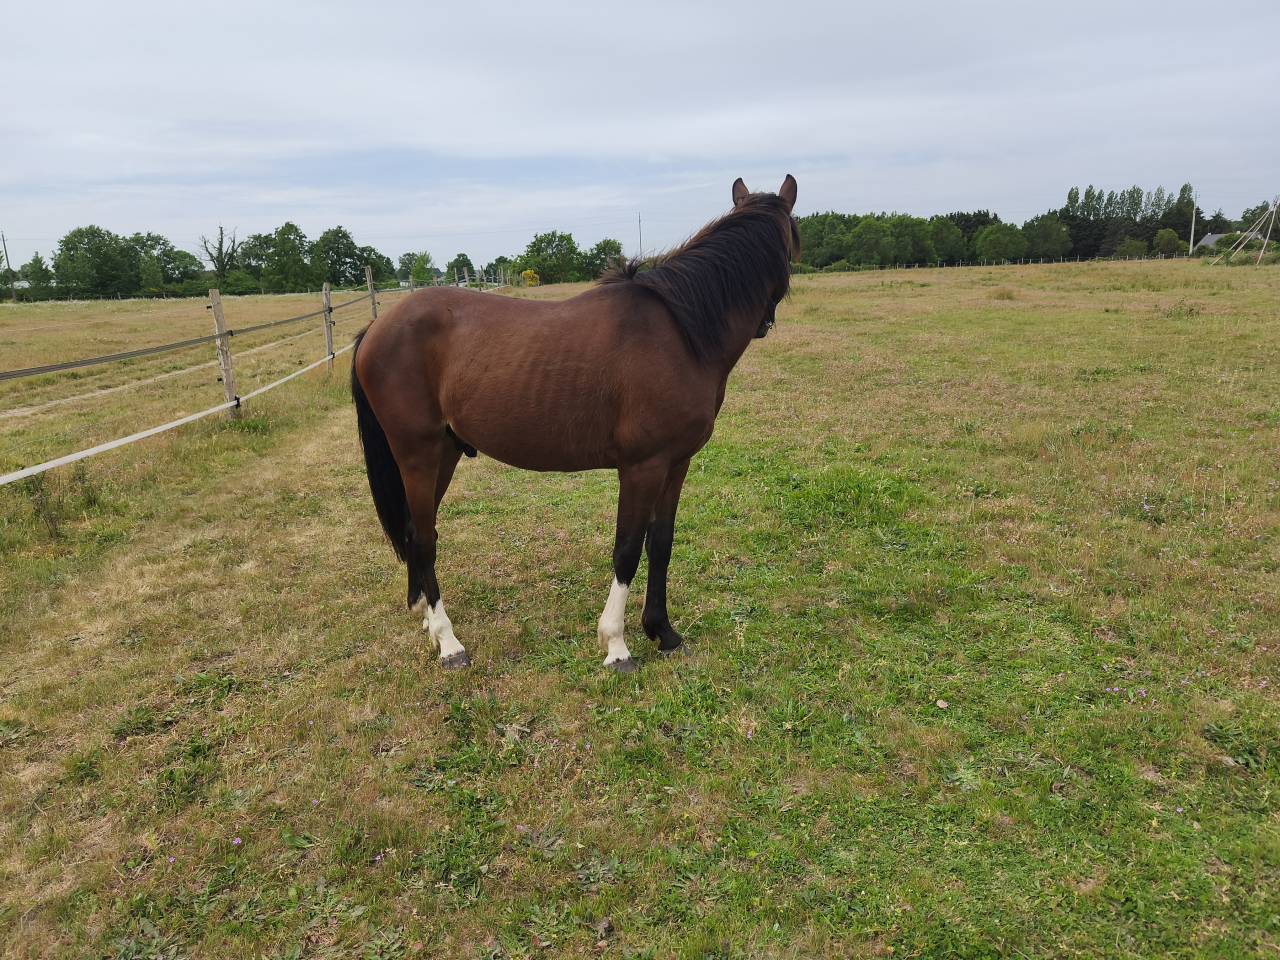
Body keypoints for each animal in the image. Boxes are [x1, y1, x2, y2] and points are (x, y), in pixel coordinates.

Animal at [350, 175, 799, 672]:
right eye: (795, 241)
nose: (764, 324)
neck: (680, 333)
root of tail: (374, 330)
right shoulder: (642, 467)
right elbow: (627, 548)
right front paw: (617, 644)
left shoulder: (676, 463)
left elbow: (661, 542)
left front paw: (663, 631)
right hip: (418, 454)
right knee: (426, 538)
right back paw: (450, 643)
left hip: (443, 454)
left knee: (415, 532)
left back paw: (430, 624)